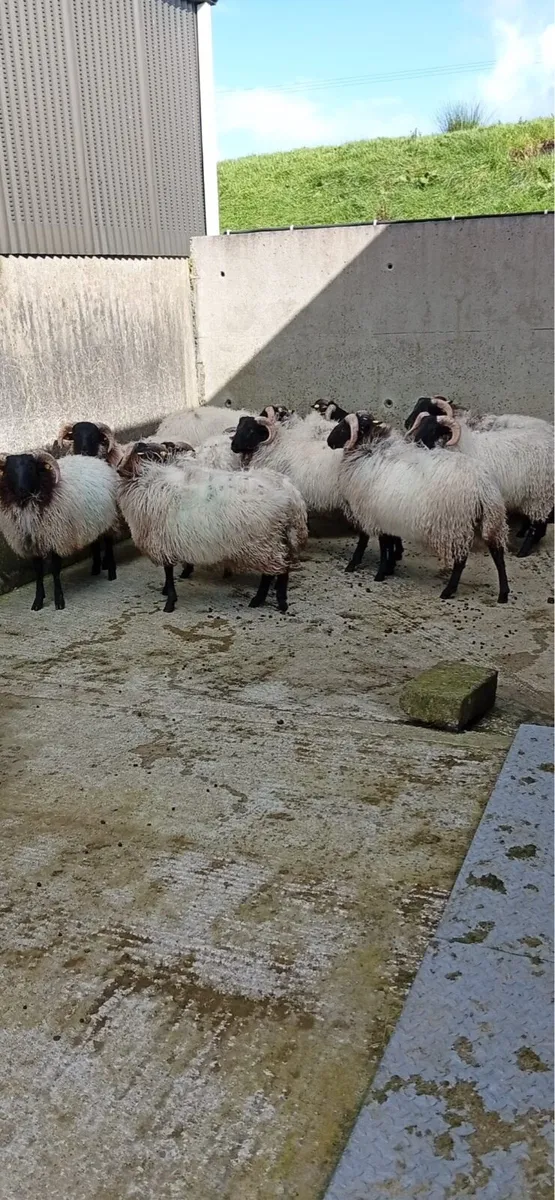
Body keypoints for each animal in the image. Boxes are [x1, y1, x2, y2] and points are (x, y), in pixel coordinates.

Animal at [0, 451, 119, 610]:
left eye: (31, 467)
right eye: (9, 469)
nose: (22, 490)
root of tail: (96, 460)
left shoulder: (56, 538)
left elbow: (55, 570)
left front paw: (59, 601)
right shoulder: (33, 543)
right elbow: (38, 572)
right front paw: (38, 601)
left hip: (108, 519)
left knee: (108, 544)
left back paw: (111, 573)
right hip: (93, 522)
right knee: (95, 543)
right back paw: (95, 569)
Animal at [116, 441, 308, 614]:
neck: (148, 480)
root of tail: (290, 495)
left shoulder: (162, 542)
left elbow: (168, 573)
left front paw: (169, 602)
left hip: (264, 543)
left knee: (274, 571)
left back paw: (263, 600)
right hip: (279, 538)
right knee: (283, 568)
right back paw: (277, 601)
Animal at [327, 412, 510, 603]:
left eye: (344, 428)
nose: (329, 441)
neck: (370, 452)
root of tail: (482, 486)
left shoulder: (372, 514)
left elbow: (372, 543)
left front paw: (371, 570)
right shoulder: (387, 516)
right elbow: (389, 543)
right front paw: (389, 567)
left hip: (456, 524)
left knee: (461, 560)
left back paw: (448, 590)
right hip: (490, 521)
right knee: (498, 554)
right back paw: (503, 593)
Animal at [405, 397, 553, 557]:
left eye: (433, 429)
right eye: (420, 425)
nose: (415, 442)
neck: (460, 446)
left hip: (540, 496)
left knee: (538, 525)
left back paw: (523, 552)